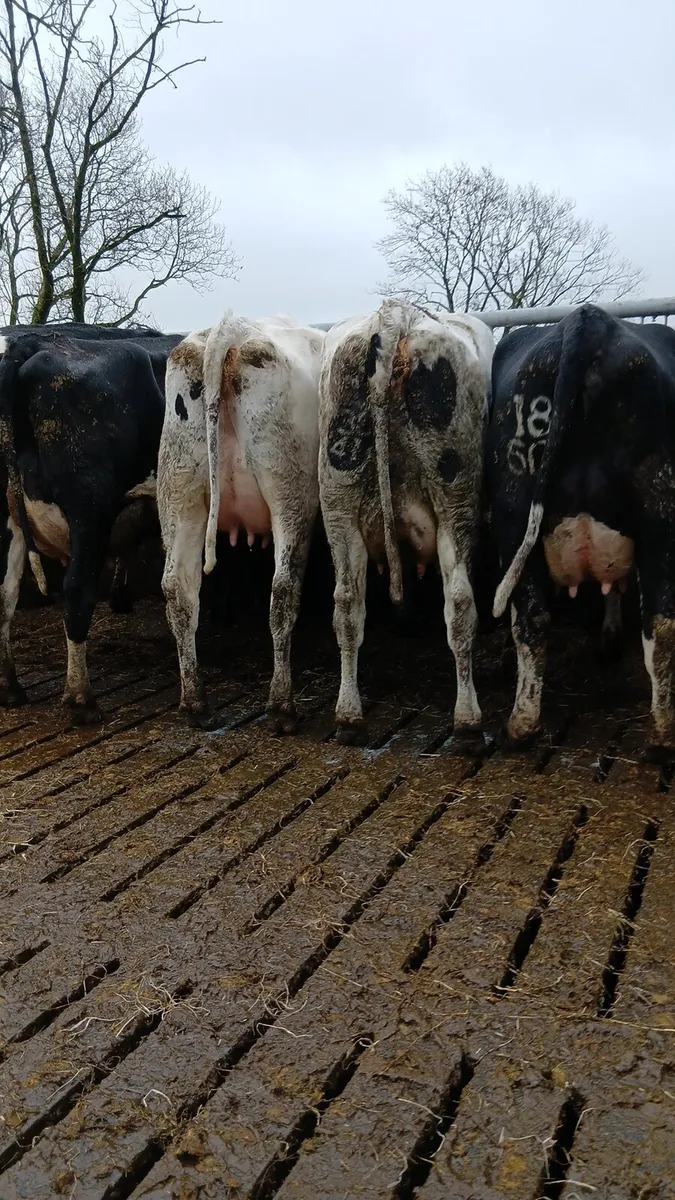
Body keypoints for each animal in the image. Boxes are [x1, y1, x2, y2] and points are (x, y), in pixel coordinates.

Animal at [0, 329, 182, 721]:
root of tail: (33, 344)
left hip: (8, 517)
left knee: (4, 594)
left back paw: (11, 687)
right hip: (90, 507)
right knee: (77, 589)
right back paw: (80, 699)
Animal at [158, 313, 324, 731]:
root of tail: (231, 328)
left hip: (179, 492)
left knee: (178, 590)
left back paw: (194, 703)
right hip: (291, 494)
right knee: (283, 591)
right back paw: (281, 707)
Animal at [318, 299, 494, 747]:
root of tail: (396, 316)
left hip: (338, 498)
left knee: (346, 605)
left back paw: (348, 715)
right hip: (457, 496)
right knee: (460, 602)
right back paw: (468, 720)